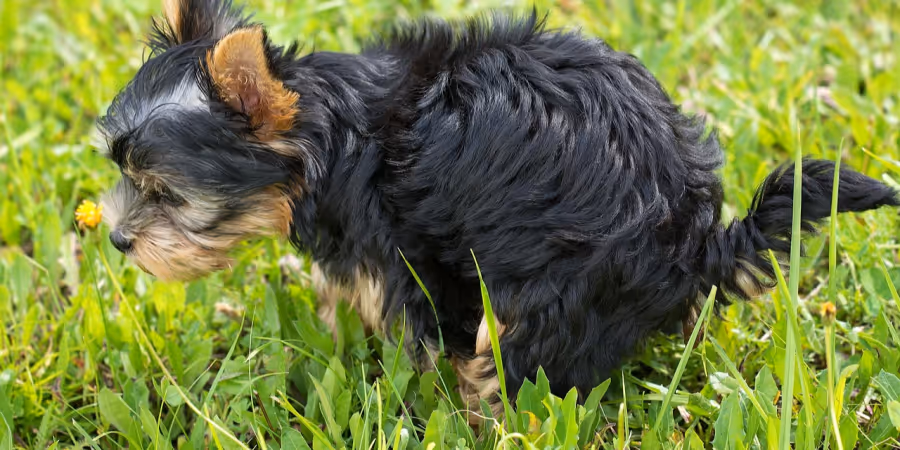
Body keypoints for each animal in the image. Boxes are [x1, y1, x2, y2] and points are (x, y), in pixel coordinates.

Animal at [97, 0, 899, 418]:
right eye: (123, 174)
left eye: (167, 193)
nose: (118, 240)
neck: (334, 131)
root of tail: (697, 240)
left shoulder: (405, 252)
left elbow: (412, 325)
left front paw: (411, 390)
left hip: (560, 287)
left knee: (520, 358)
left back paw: (486, 408)